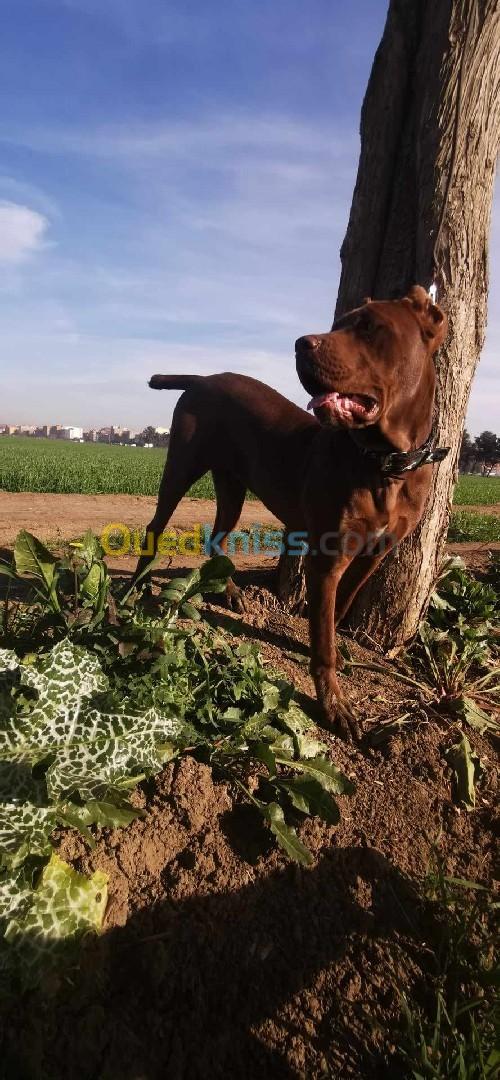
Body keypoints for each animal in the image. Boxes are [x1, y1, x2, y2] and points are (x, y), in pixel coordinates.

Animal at [133, 285, 449, 743]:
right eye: (338, 325)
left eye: (370, 326)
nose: (301, 343)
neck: (385, 463)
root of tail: (204, 378)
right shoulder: (328, 557)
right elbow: (322, 634)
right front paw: (333, 703)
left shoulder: (374, 554)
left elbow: (340, 609)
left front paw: (337, 651)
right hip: (182, 466)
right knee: (155, 526)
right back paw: (139, 584)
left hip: (232, 484)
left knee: (217, 536)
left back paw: (230, 592)